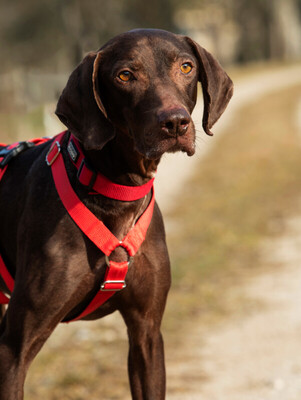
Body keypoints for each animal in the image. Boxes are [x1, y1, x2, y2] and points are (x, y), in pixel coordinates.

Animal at [0, 29, 232, 398]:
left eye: (186, 66)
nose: (176, 123)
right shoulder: (13, 348)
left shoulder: (146, 333)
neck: (117, 193)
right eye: (125, 75)